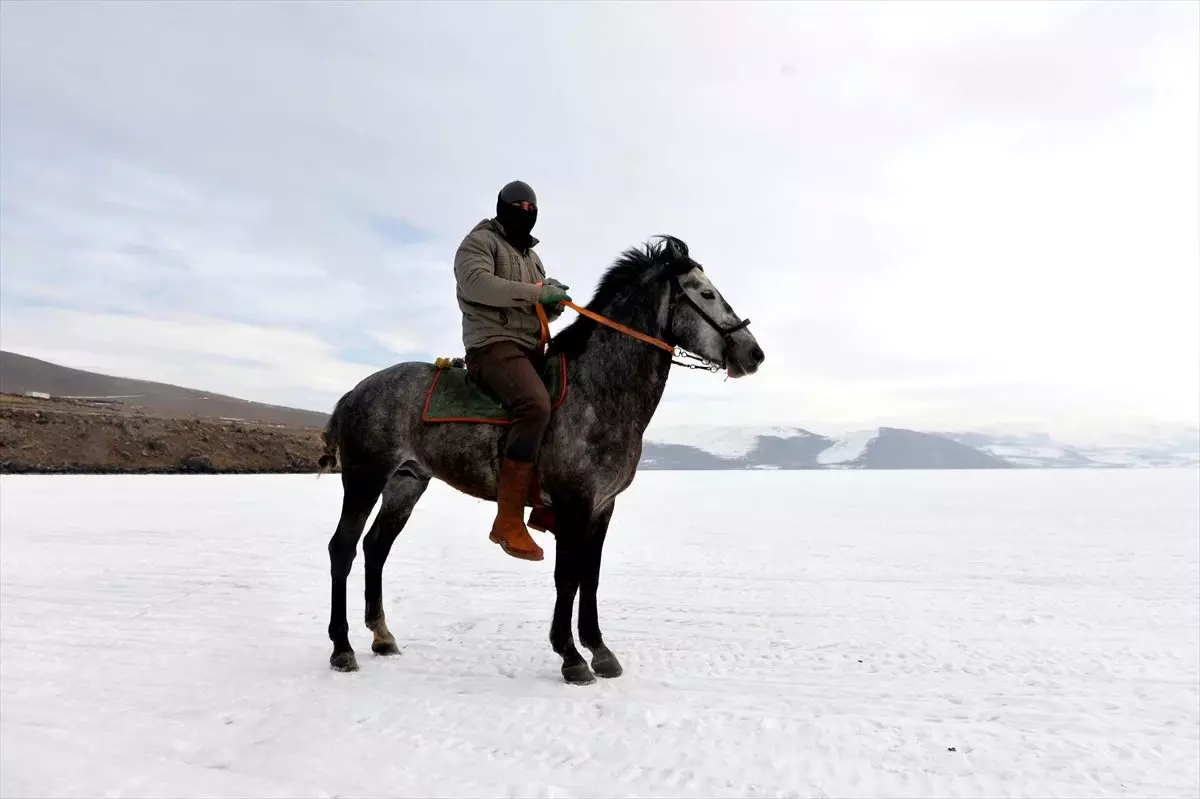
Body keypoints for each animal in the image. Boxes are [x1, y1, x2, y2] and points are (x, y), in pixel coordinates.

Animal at [319, 233, 768, 681]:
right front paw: (571, 655)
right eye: (705, 293)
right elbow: (567, 577)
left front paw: (599, 650)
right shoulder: (574, 502)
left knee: (376, 547)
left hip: (406, 482)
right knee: (343, 548)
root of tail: (354, 392)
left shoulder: (603, 506)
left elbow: (590, 577)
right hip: (365, 478)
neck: (599, 391)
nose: (754, 354)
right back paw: (342, 648)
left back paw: (382, 637)